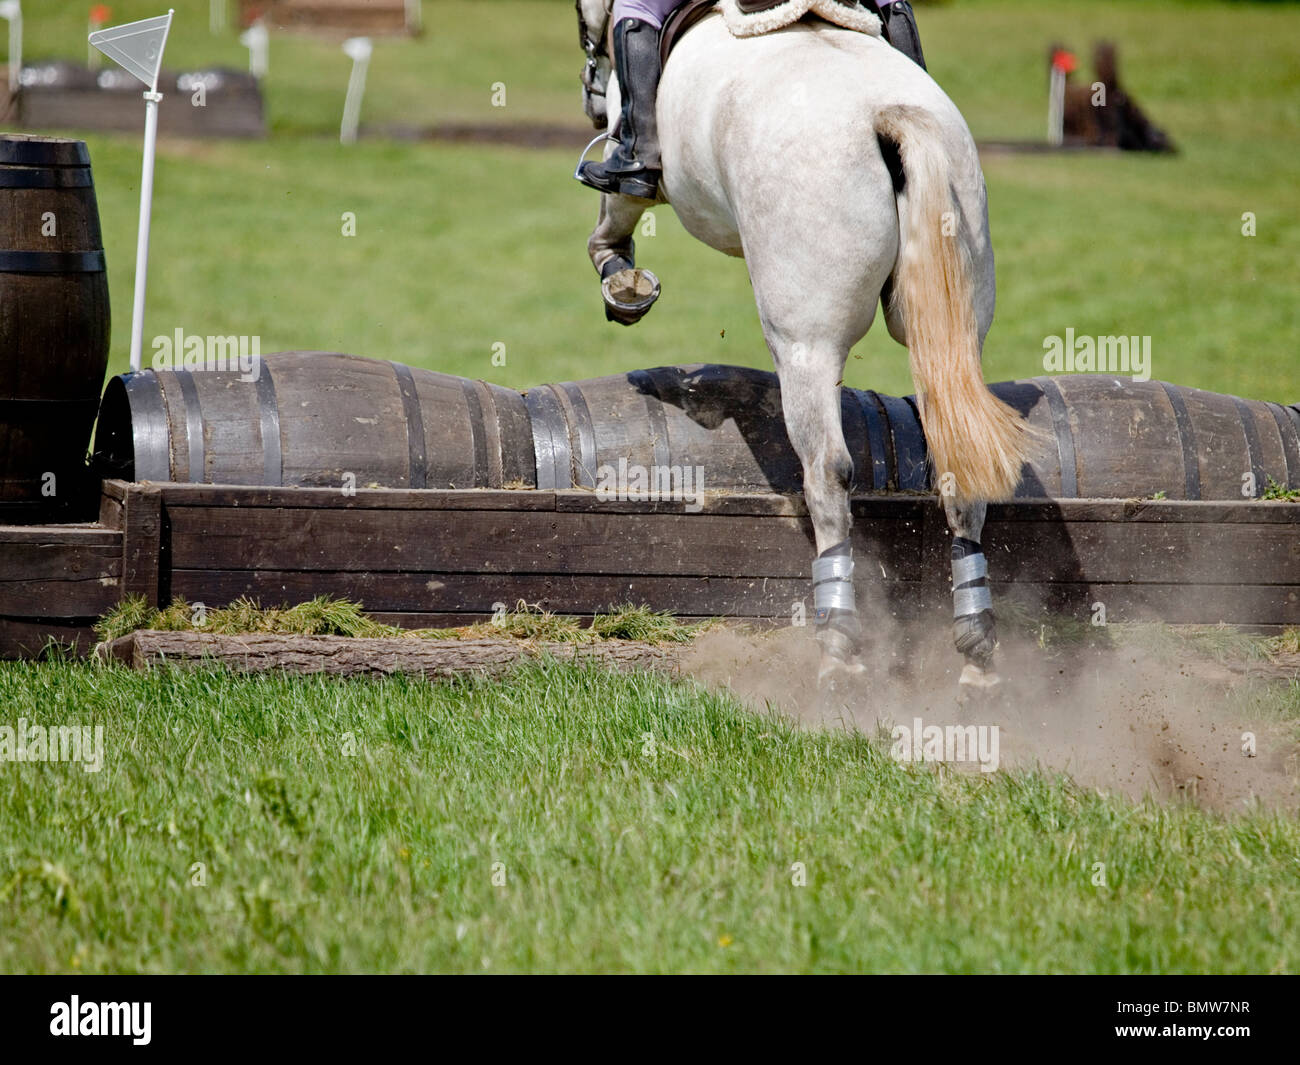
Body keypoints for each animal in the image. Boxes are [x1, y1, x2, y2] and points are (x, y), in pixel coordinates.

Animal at [575, 2, 1033, 698]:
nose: (592, 99)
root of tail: (886, 115)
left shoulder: (635, 160)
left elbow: (616, 208)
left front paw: (621, 281)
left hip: (805, 344)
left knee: (828, 471)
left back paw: (839, 644)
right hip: (952, 329)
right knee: (961, 465)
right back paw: (976, 652)